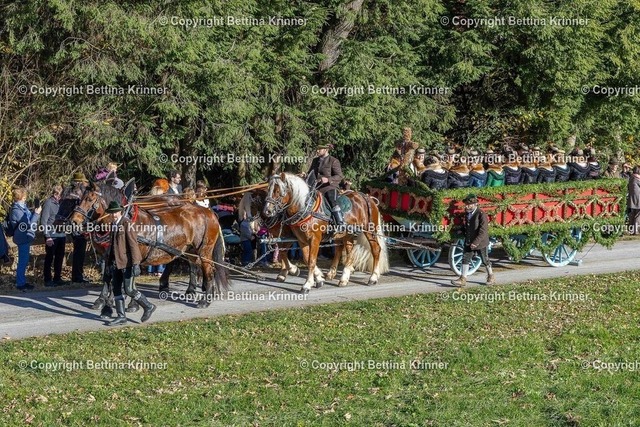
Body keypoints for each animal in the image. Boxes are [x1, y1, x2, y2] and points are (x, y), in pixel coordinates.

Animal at [69, 183, 229, 309]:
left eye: (90, 199)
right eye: (79, 199)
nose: (73, 221)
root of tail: (207, 212)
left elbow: (129, 278)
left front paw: (130, 303)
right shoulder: (109, 254)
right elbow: (109, 276)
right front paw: (105, 299)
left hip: (204, 250)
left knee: (208, 270)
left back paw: (205, 299)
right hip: (188, 248)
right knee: (193, 265)